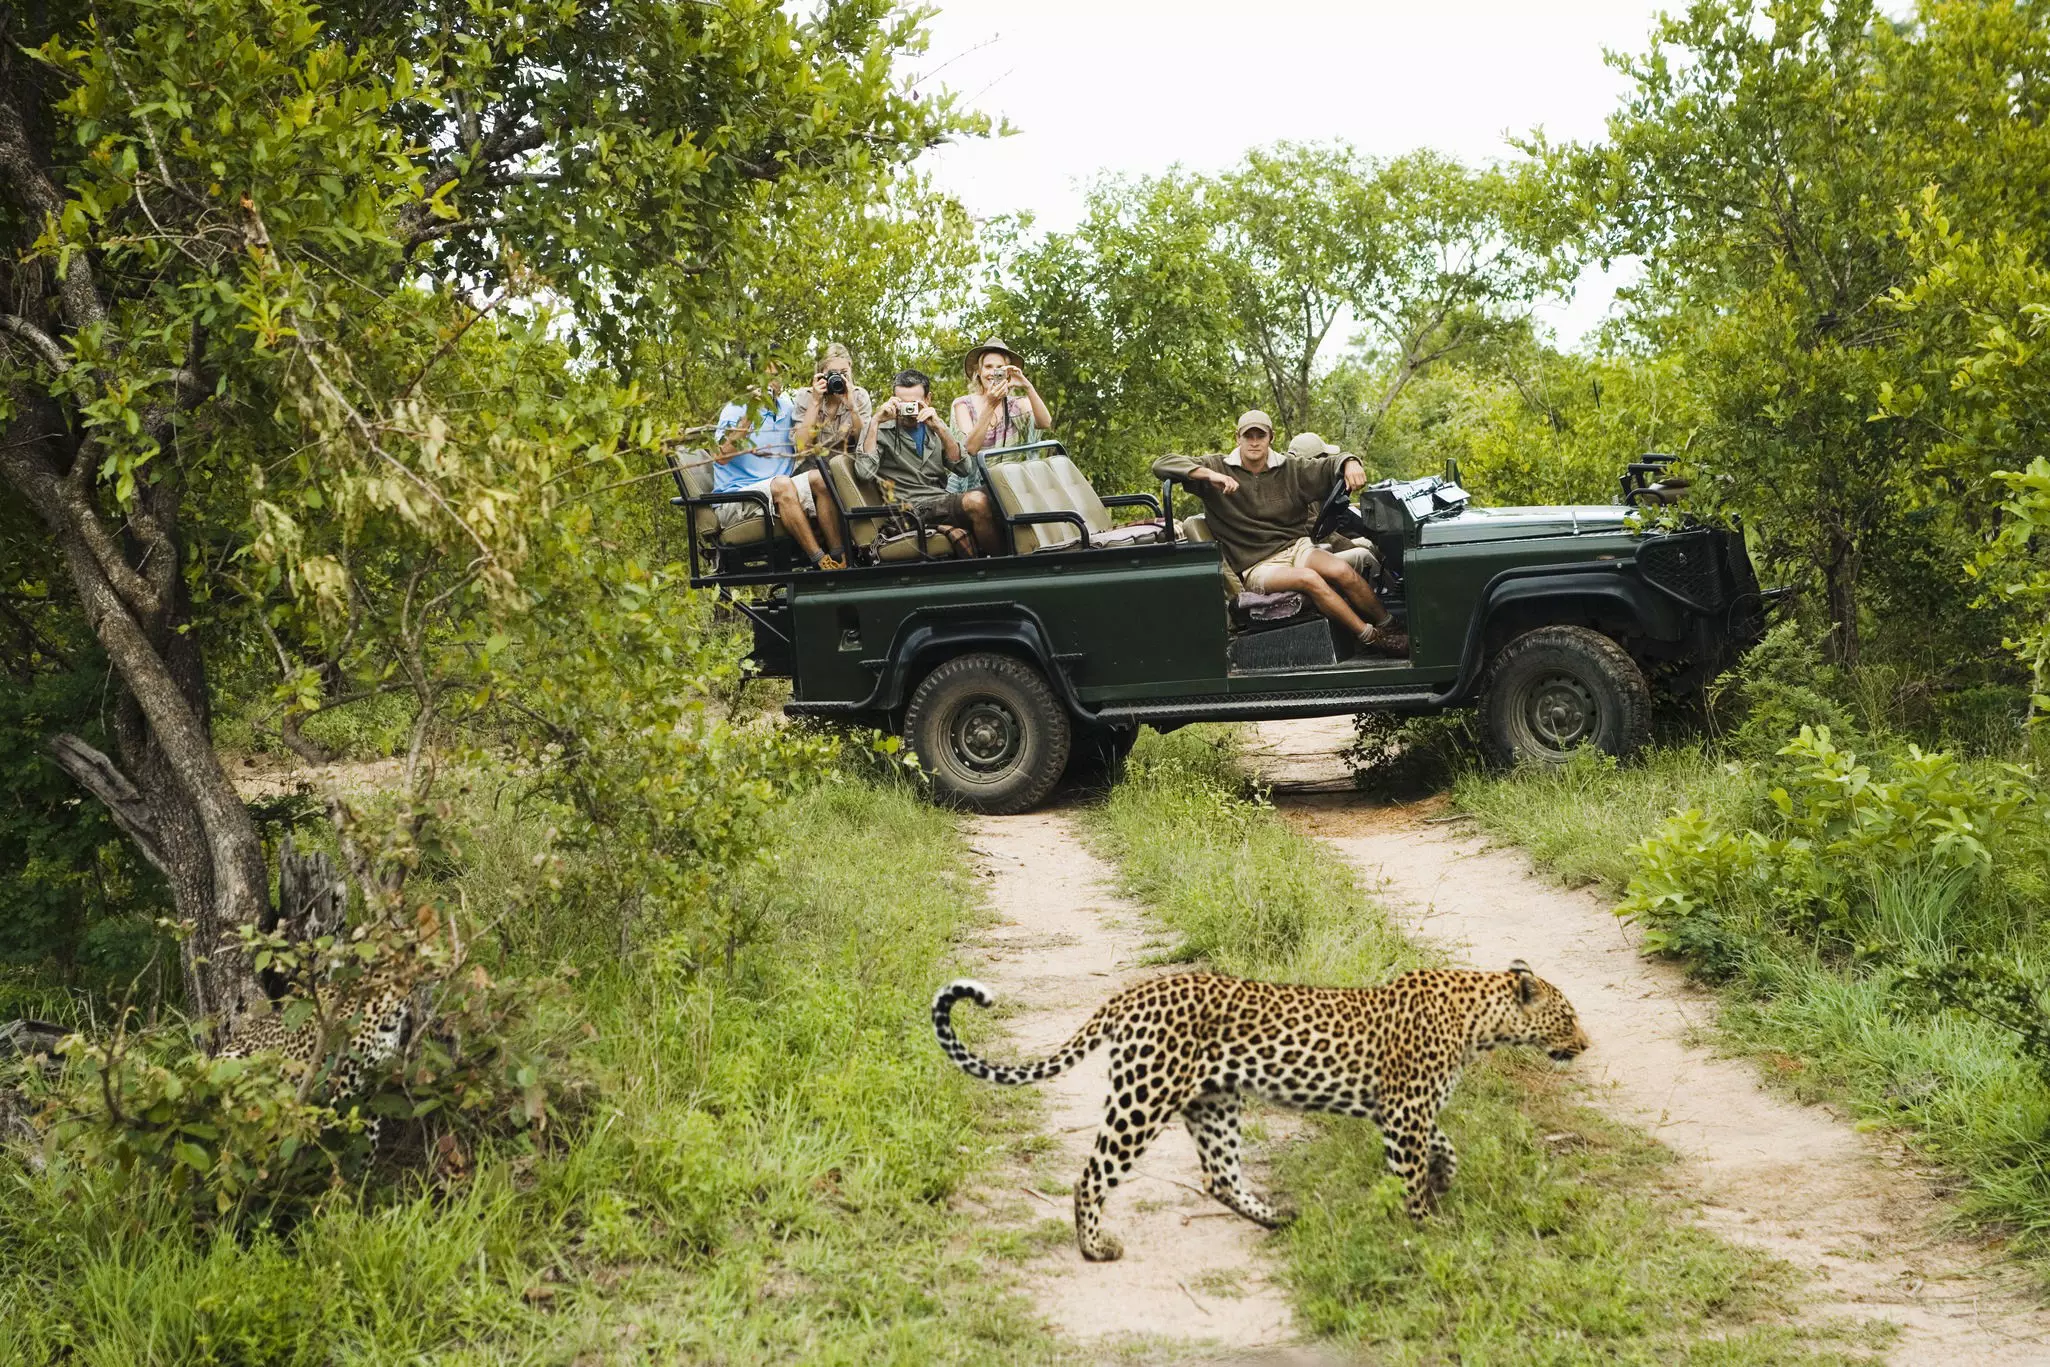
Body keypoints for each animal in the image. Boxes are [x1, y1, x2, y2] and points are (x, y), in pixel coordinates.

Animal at [932, 961, 1589, 1261]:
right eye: (1569, 1017)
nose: (1585, 1044)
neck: (1480, 1022)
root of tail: (1130, 994)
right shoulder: (1404, 1113)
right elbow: (1411, 1175)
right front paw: (1427, 1227)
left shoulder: (1402, 1112)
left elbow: (1444, 1143)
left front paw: (1445, 1177)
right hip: (1144, 1097)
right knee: (1092, 1175)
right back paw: (1096, 1248)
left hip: (1214, 1102)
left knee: (1219, 1175)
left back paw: (1276, 1217)